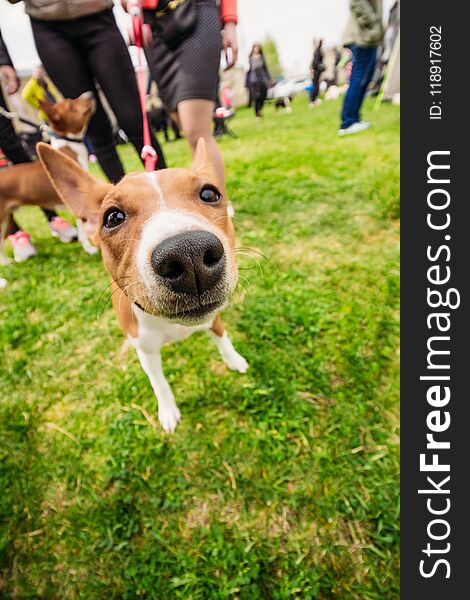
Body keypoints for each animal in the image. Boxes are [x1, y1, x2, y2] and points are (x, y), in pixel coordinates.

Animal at [0, 92, 96, 264]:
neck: (68, 150)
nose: (90, 93)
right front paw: (90, 249)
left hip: (7, 218)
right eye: (71, 105)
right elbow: (83, 232)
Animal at [37, 138, 250, 432]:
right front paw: (168, 410)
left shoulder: (213, 318)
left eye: (209, 194)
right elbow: (159, 383)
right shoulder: (145, 350)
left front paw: (234, 360)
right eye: (113, 218)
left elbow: (223, 338)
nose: (189, 253)